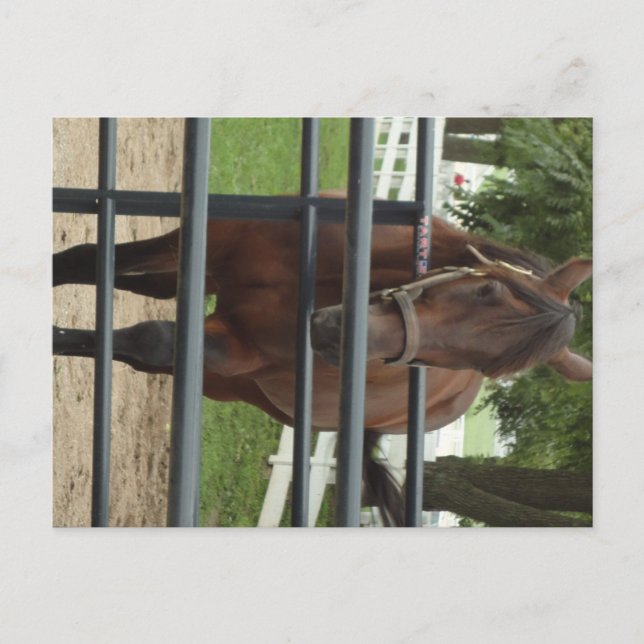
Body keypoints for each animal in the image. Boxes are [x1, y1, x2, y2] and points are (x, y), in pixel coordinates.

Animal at [53, 213, 592, 525]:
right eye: (486, 290)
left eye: (478, 363)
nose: (334, 333)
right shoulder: (199, 246)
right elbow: (86, 260)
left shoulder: (236, 347)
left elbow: (151, 338)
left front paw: (55, 336)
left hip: (231, 383)